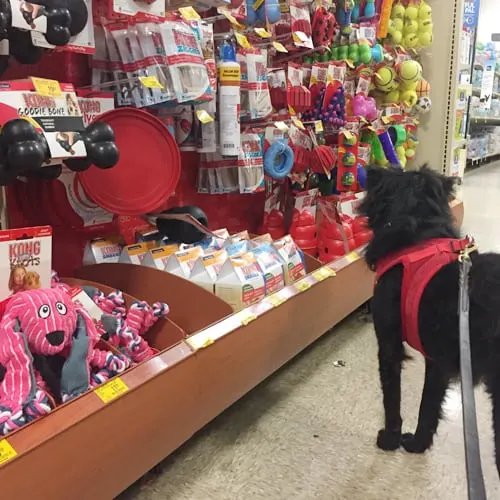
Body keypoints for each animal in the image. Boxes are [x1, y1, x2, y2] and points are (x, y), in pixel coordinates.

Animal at [360, 165, 500, 476]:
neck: (419, 236)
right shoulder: (438, 361)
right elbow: (430, 405)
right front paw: (420, 443)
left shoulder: (391, 347)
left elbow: (395, 399)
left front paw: (393, 440)